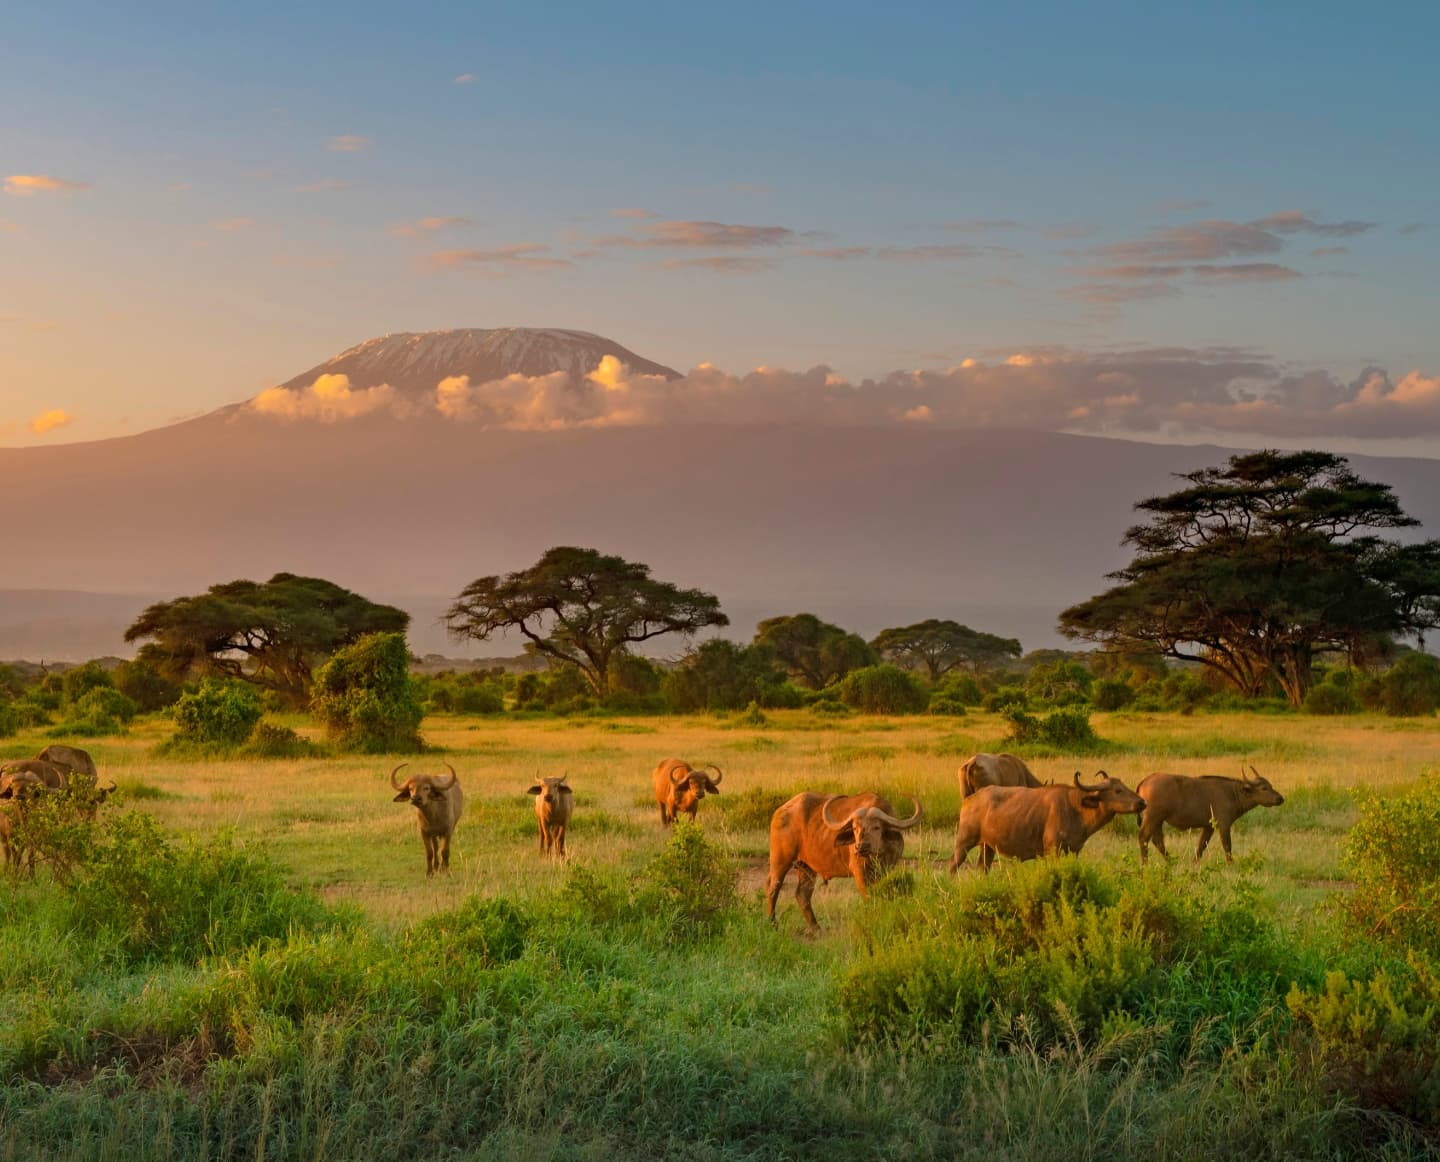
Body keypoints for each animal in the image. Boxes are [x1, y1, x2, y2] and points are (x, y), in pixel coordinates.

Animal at [766, 789, 921, 938]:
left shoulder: (887, 869)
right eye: (855, 828)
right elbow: (868, 897)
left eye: (877, 827)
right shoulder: (859, 872)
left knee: (802, 894)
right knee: (773, 888)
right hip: (780, 861)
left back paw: (816, 929)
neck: (877, 854)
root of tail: (780, 812)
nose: (861, 847)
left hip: (806, 868)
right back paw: (772, 924)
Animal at [944, 771, 1146, 875]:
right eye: (1117, 791)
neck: (1076, 808)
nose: (1142, 802)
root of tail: (969, 800)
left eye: (1124, 786)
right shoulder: (1052, 851)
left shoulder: (1074, 851)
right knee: (953, 864)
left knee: (983, 868)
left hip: (987, 846)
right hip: (963, 842)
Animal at [1140, 766, 1290, 869]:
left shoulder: (1208, 827)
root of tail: (1146, 780)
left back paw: (1170, 860)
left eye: (1271, 786)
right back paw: (1145, 863)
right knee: (1143, 837)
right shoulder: (1224, 825)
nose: (1280, 799)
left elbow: (1201, 846)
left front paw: (1194, 863)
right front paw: (1231, 865)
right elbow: (1227, 846)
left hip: (1158, 821)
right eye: (1264, 788)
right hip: (1153, 818)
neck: (1232, 794)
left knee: (1157, 840)